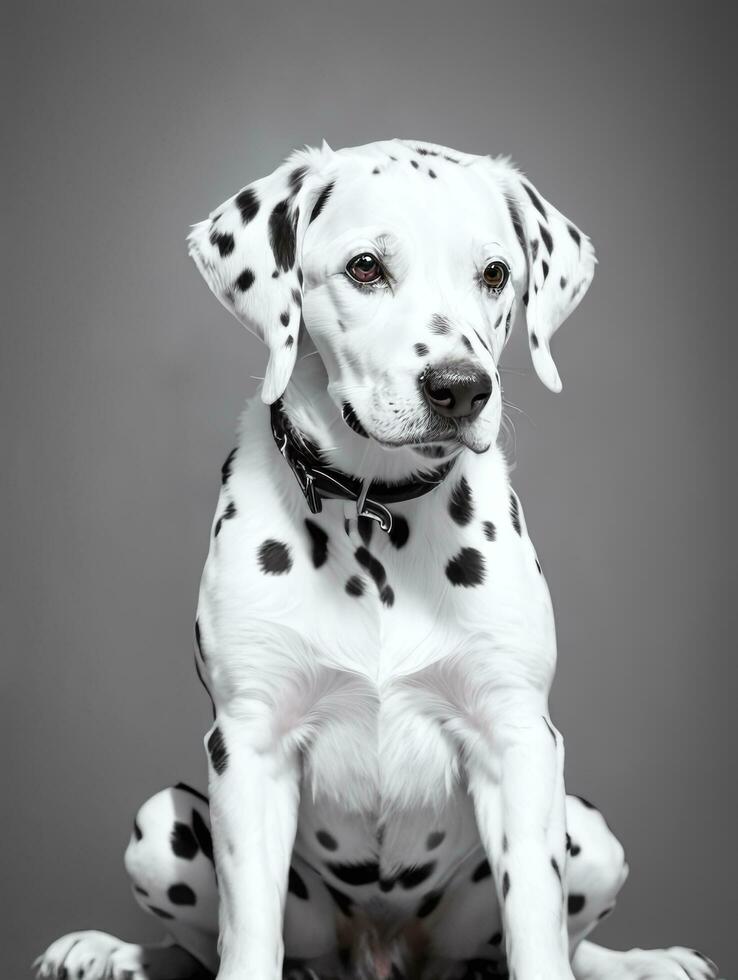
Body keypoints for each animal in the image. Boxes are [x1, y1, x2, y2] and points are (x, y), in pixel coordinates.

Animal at [37, 140, 716, 980]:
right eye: (365, 267)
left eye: (496, 273)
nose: (460, 388)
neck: (377, 512)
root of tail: (381, 952)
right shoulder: (249, 743)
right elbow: (244, 937)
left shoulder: (520, 738)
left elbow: (540, 929)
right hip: (161, 827)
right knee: (194, 947)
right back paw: (108, 950)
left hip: (588, 832)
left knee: (572, 941)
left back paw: (646, 960)